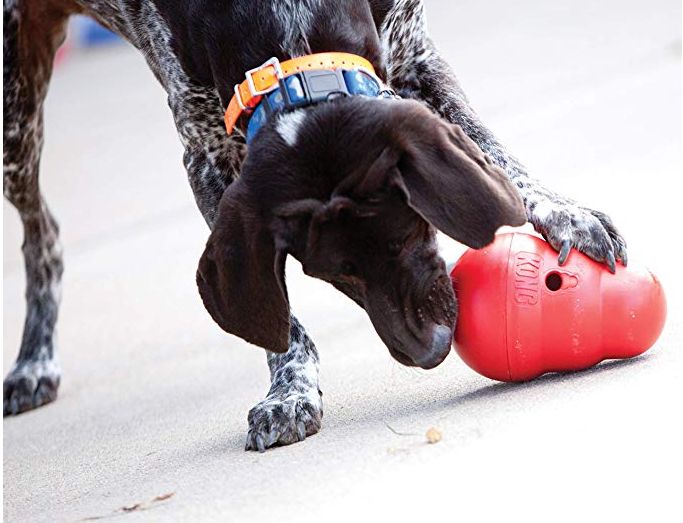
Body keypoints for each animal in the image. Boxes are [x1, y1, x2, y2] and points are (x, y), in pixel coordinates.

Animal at [2, 0, 628, 452]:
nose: (429, 353)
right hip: (14, 121)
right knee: (42, 233)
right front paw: (291, 388)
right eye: (335, 276)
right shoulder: (204, 152)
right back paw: (33, 361)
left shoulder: (413, 53)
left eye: (412, 230)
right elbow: (279, 323)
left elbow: (495, 156)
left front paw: (564, 212)